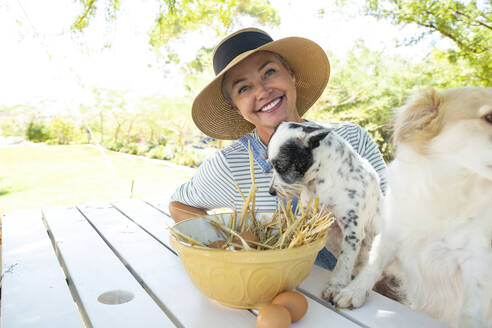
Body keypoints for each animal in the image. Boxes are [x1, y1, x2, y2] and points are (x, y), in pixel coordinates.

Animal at [266, 121, 384, 308]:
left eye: (282, 167)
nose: (271, 191)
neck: (319, 182)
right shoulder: (306, 216)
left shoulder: (353, 227)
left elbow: (345, 260)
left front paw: (336, 286)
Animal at [334, 88, 492, 328]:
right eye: (489, 117)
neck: (448, 189)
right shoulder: (391, 233)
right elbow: (373, 264)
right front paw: (354, 291)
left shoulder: (477, 264)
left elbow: (470, 310)